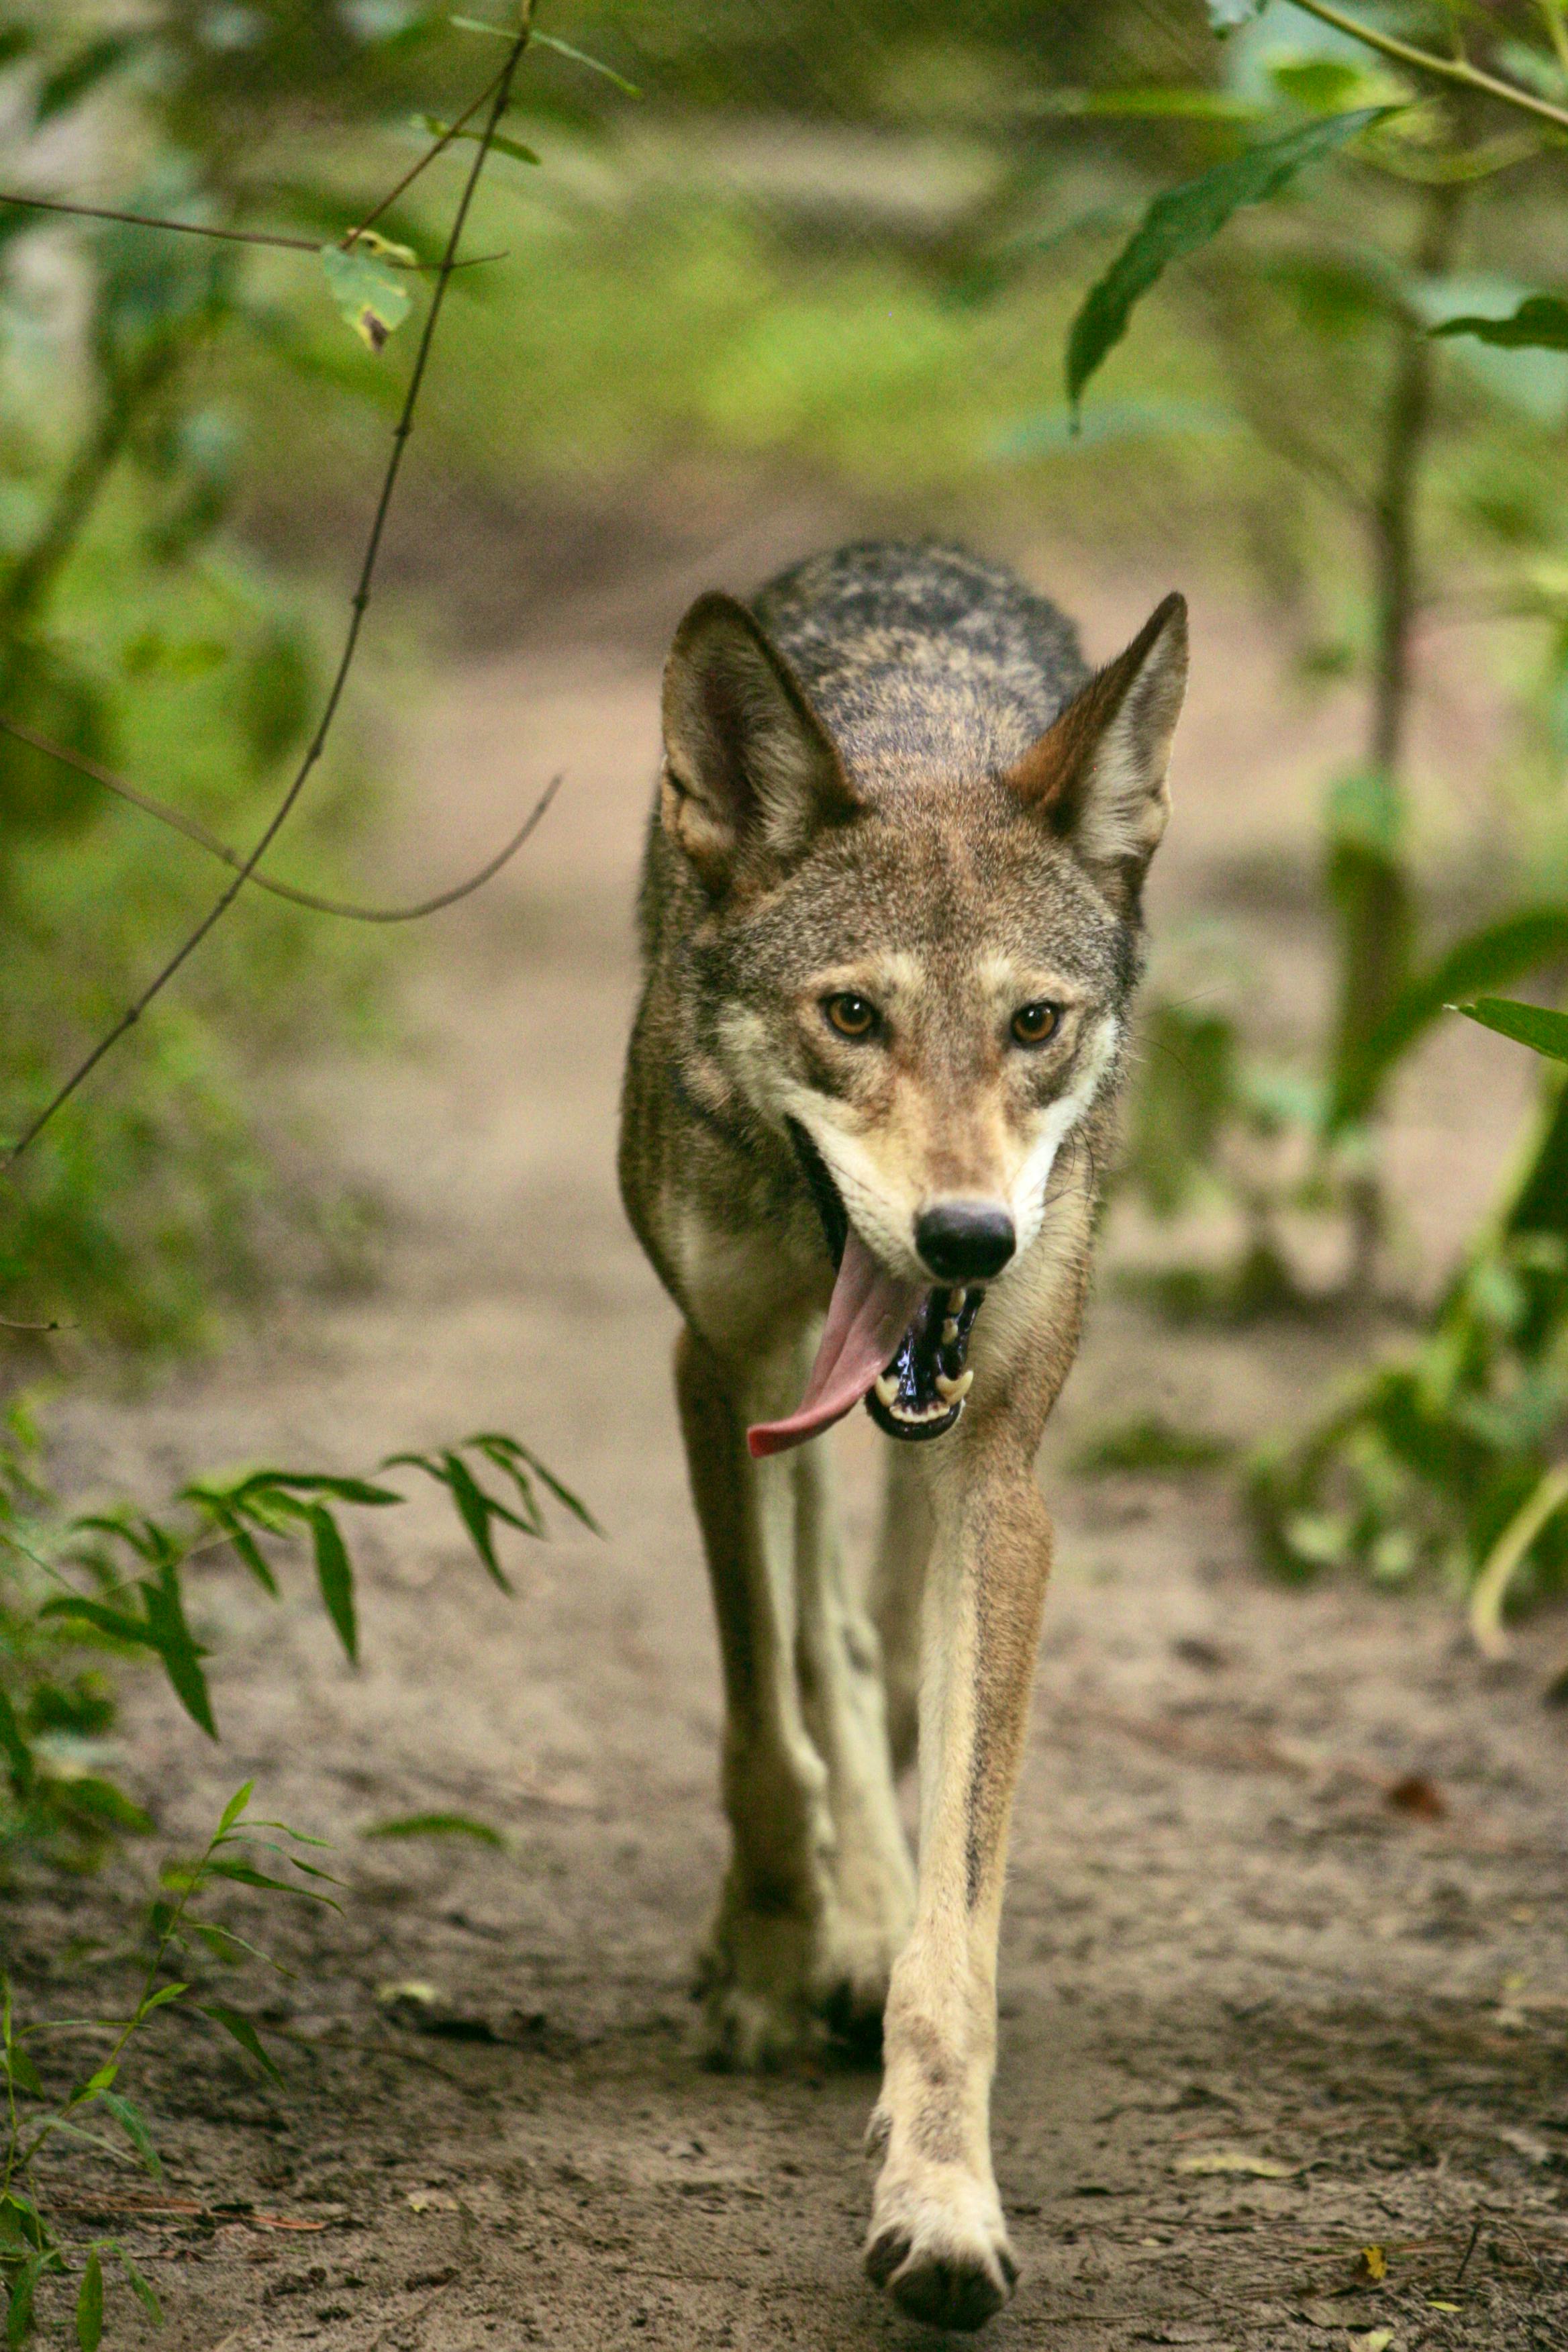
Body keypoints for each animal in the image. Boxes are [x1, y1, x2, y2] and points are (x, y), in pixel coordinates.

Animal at [618, 541, 1186, 2329]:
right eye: (852, 1015)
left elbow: (959, 1927)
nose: (965, 1240)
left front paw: (937, 2198)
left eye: (1034, 1025)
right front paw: (773, 1954)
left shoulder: (999, 1475)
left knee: (866, 1646)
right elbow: (760, 1723)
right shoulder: (715, 1370)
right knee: (822, 1647)